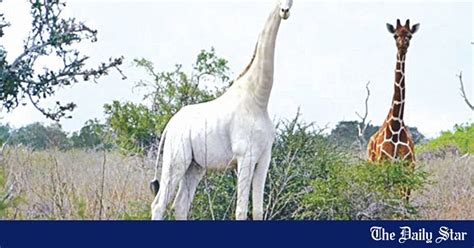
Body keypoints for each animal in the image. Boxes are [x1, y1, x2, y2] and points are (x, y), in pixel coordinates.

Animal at [151, 0, 292, 221]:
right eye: (277, 2)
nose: (285, 11)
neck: (258, 100)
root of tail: (169, 126)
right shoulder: (245, 157)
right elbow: (241, 210)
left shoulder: (264, 158)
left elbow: (258, 210)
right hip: (176, 160)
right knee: (159, 204)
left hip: (195, 166)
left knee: (180, 204)